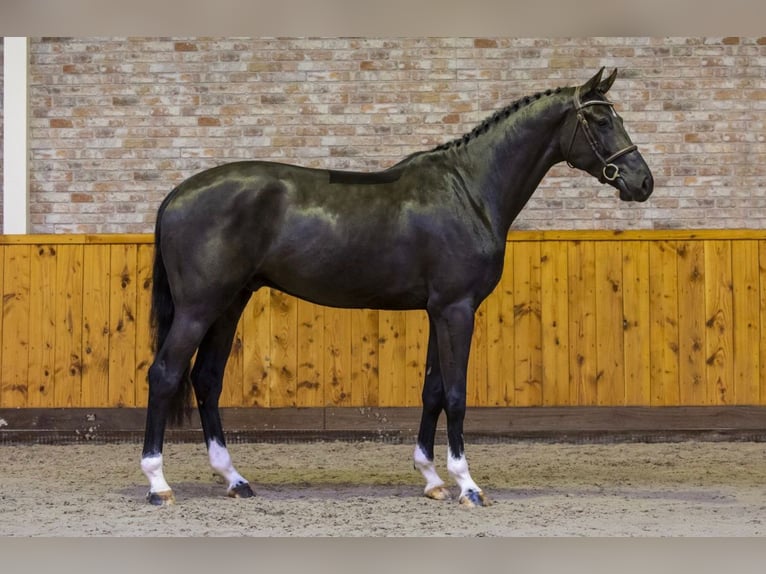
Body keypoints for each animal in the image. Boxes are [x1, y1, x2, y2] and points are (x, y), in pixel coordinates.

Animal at [140, 68, 654, 506]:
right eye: (601, 119)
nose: (643, 182)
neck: (469, 190)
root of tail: (177, 195)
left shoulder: (438, 309)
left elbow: (432, 391)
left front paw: (431, 480)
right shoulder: (457, 309)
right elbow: (456, 395)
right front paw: (467, 484)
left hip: (230, 304)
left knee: (206, 379)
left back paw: (234, 479)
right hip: (199, 308)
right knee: (164, 374)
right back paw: (158, 484)